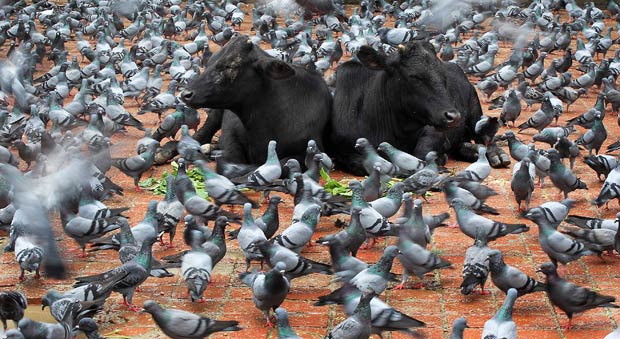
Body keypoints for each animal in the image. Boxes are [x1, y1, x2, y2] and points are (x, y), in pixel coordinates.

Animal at [330, 40, 508, 175]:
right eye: (414, 76)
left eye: (443, 75)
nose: (453, 116)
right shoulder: (345, 151)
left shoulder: (434, 130)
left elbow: (421, 153)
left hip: (475, 113)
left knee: (485, 136)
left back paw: (496, 155)